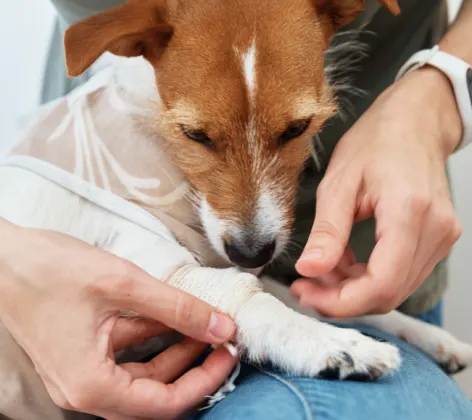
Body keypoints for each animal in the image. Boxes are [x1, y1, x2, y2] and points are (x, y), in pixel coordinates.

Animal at [0, 0, 472, 382]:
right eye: (194, 134)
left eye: (297, 128)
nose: (251, 253)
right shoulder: (151, 268)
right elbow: (257, 306)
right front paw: (339, 346)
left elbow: (312, 299)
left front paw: (426, 335)